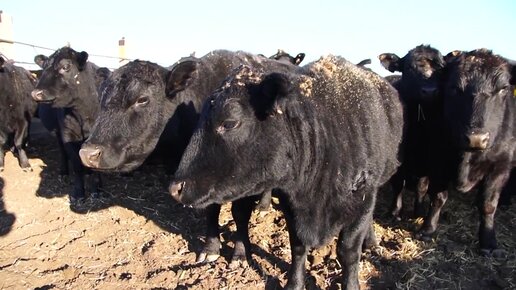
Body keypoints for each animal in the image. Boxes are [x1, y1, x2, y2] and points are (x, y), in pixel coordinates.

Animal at [31, 47, 103, 204]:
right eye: (44, 68)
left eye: (66, 67)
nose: (36, 93)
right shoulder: (67, 135)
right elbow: (76, 164)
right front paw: (79, 193)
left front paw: (96, 190)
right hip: (58, 132)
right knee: (63, 152)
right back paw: (63, 172)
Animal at [78, 50, 298, 266]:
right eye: (101, 100)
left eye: (142, 99)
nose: (87, 153)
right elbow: (210, 210)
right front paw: (210, 249)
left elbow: (240, 214)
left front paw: (241, 253)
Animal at [169, 55, 404, 288]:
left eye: (229, 123)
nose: (175, 188)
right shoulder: (290, 202)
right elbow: (297, 247)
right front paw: (294, 284)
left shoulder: (362, 200)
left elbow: (348, 251)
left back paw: (371, 242)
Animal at [374, 45, 452, 239]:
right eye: (409, 68)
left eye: (442, 69)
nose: (430, 91)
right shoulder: (399, 158)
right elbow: (397, 185)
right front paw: (394, 213)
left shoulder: (441, 162)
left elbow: (437, 195)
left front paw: (428, 228)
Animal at [444, 48, 516, 258]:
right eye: (454, 88)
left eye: (503, 88)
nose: (476, 138)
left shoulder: (501, 165)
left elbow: (488, 205)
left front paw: (488, 242)